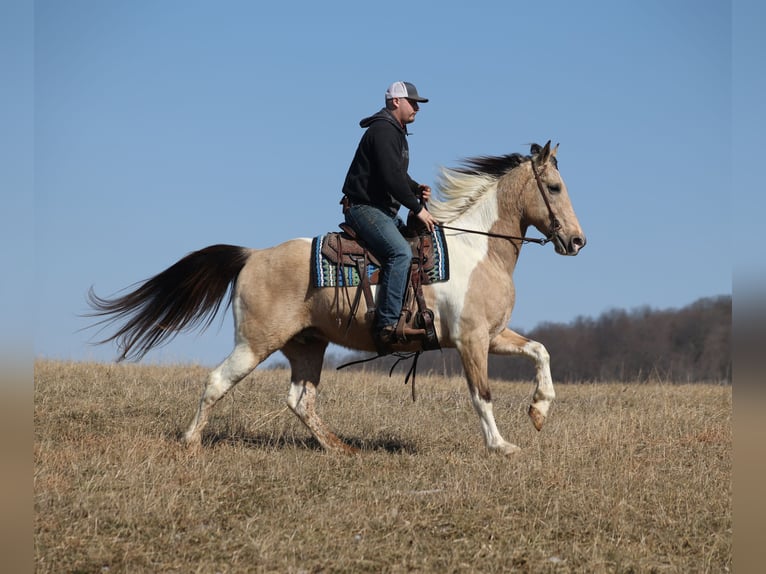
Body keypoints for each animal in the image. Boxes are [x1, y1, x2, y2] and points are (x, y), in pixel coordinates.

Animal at [87, 141, 586, 455]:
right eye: (555, 188)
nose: (578, 241)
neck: (475, 249)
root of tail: (252, 255)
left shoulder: (494, 335)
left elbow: (540, 351)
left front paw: (539, 411)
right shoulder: (470, 341)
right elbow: (481, 394)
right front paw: (501, 445)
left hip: (307, 345)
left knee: (300, 401)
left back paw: (339, 447)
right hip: (254, 344)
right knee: (216, 382)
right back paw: (191, 441)